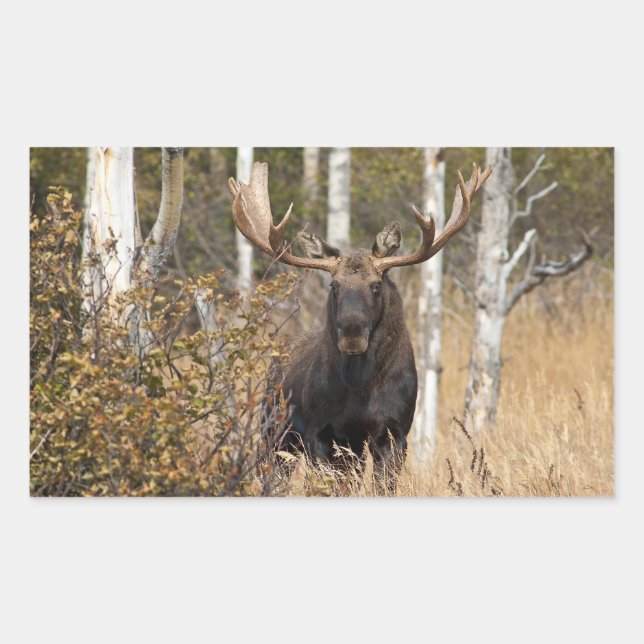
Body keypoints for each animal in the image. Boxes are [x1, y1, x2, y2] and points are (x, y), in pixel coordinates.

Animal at [228, 161, 490, 490]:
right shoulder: (322, 433)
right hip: (274, 432)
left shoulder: (395, 431)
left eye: (376, 285)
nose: (352, 336)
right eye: (334, 285)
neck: (361, 391)